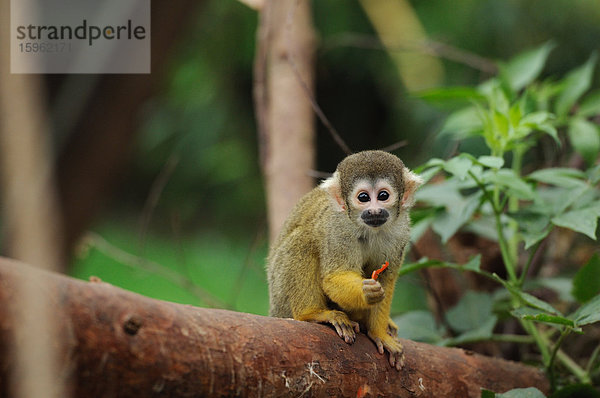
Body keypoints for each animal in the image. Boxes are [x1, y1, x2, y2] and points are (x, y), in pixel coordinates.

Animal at [268, 149, 422, 370]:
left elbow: (386, 279)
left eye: (383, 196)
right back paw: (311, 313)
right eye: (363, 197)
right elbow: (334, 276)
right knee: (302, 240)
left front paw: (379, 333)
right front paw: (366, 291)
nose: (374, 211)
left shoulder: (401, 232)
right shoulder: (337, 228)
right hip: (281, 299)